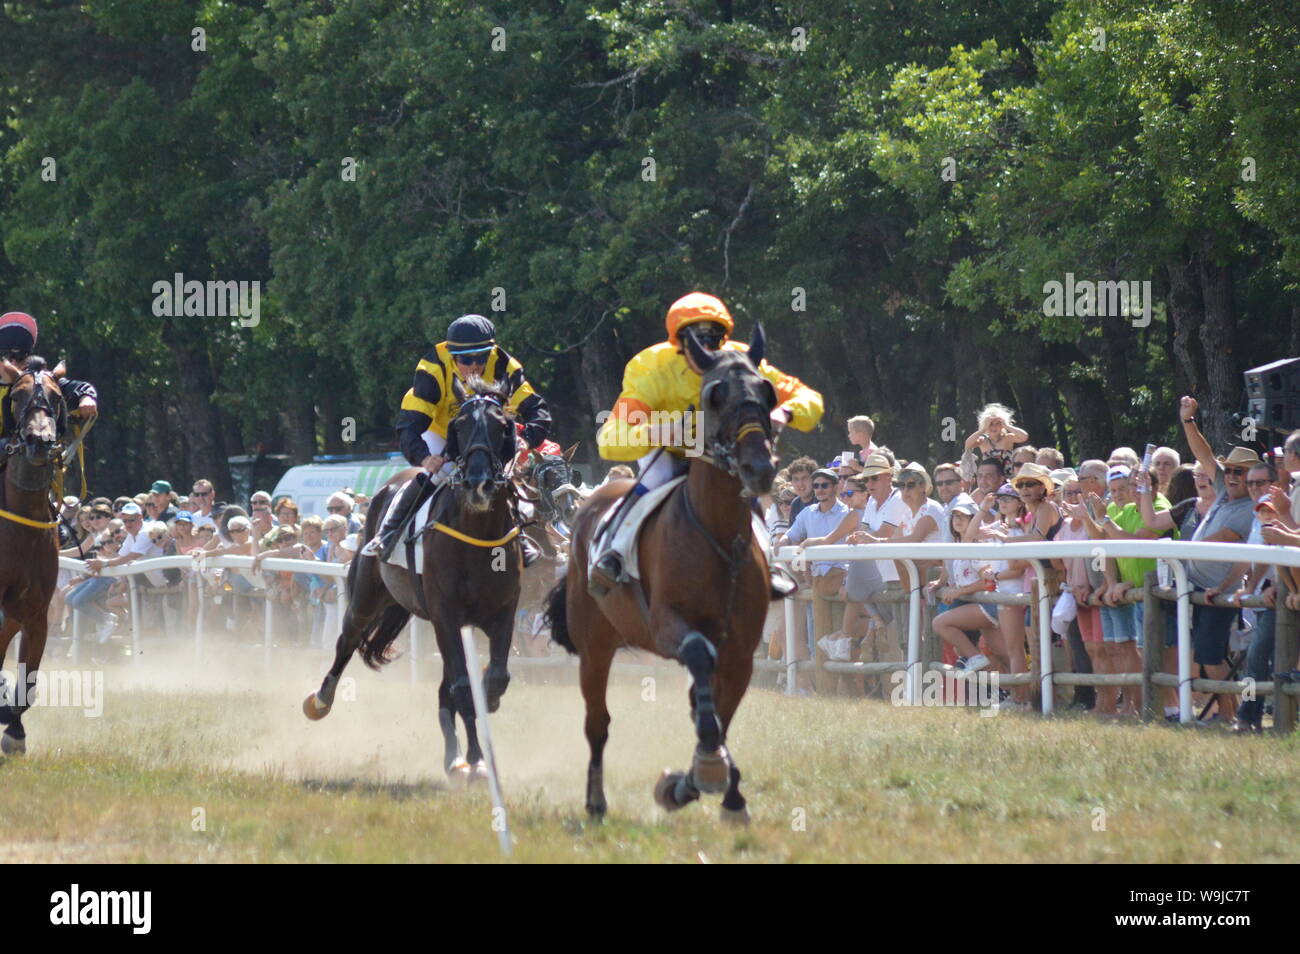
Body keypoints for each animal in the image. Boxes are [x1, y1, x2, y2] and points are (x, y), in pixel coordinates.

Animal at [302, 375, 524, 785]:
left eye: (503, 426)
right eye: (459, 426)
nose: (479, 484)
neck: (478, 534)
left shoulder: (502, 611)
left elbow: (494, 677)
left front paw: (480, 732)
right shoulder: (445, 614)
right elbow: (462, 687)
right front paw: (477, 759)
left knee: (444, 688)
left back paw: (454, 758)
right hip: (366, 595)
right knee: (346, 641)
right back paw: (320, 700)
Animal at [545, 325, 779, 822]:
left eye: (768, 392)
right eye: (715, 395)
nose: (759, 467)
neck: (715, 536)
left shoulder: (742, 650)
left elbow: (717, 712)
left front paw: (712, 787)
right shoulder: (668, 626)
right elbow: (700, 667)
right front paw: (704, 771)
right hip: (594, 644)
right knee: (597, 723)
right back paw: (595, 802)